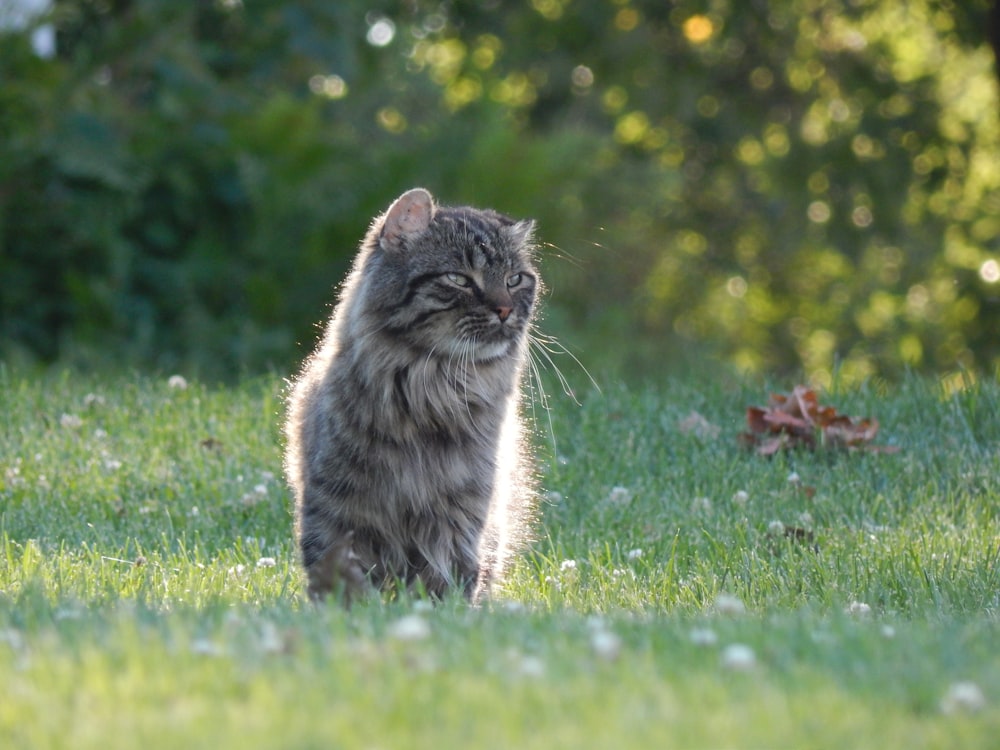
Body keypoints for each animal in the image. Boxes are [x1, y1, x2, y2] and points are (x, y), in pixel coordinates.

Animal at [284, 187, 540, 604]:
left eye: (515, 279)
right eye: (459, 279)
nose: (504, 310)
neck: (429, 390)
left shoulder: (459, 521)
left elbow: (448, 587)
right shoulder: (337, 510)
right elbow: (341, 583)